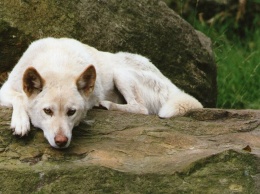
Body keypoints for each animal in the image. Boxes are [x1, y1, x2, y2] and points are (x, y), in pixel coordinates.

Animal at [0, 36, 203, 149]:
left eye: (71, 112)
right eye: (47, 111)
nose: (61, 141)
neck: (57, 63)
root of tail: (172, 86)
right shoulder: (4, 90)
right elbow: (20, 96)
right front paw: (21, 123)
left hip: (120, 73)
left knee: (141, 108)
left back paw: (106, 105)